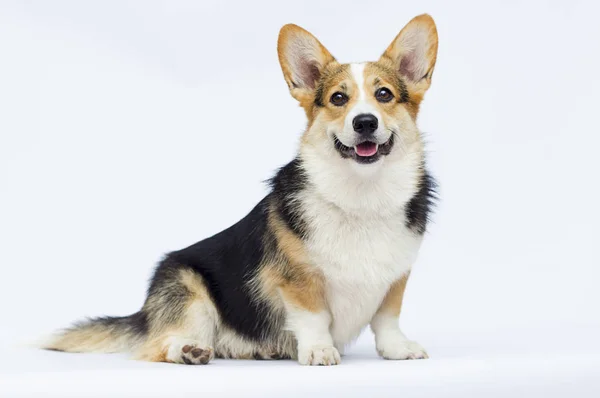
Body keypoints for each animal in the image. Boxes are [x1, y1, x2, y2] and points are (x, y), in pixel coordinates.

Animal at [42, 14, 436, 366]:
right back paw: (189, 351)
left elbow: (386, 318)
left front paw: (397, 349)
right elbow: (314, 317)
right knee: (159, 345)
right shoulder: (298, 281)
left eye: (384, 94)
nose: (364, 122)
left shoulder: (395, 279)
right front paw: (319, 351)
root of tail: (144, 313)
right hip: (190, 292)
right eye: (339, 99)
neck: (362, 193)